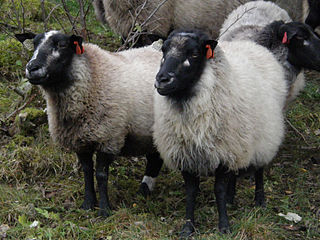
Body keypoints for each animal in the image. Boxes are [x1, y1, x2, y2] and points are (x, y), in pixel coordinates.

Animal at [14, 31, 165, 217]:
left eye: (62, 45)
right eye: (34, 44)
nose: (32, 67)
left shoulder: (109, 138)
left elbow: (101, 174)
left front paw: (104, 209)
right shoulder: (79, 140)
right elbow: (86, 171)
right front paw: (88, 204)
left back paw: (144, 190)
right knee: (155, 158)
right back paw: (144, 190)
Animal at [152, 28, 288, 236]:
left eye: (194, 54)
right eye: (164, 50)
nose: (162, 80)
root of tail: (252, 45)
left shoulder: (224, 152)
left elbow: (219, 190)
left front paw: (224, 226)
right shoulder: (186, 155)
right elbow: (191, 192)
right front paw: (188, 227)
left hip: (265, 137)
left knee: (259, 170)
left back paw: (259, 201)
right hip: (240, 143)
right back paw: (232, 199)